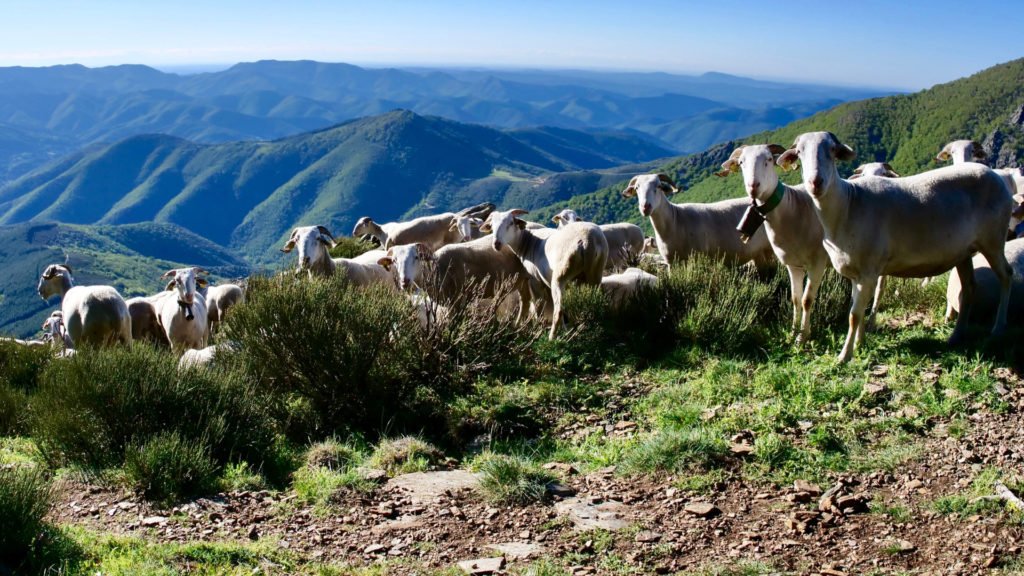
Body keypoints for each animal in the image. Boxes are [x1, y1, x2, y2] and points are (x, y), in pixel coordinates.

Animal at [378, 235, 536, 319]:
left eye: (416, 257)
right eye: (394, 261)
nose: (405, 281)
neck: (436, 270)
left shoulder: (459, 299)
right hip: (522, 281)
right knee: (525, 301)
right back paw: (519, 326)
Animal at [481, 208, 606, 338]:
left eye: (510, 223)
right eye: (492, 226)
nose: (496, 244)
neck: (527, 242)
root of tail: (586, 241)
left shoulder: (534, 280)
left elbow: (538, 306)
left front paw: (538, 328)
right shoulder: (547, 282)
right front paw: (565, 330)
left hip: (560, 276)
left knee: (558, 310)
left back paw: (552, 338)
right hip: (595, 274)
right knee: (595, 301)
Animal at [614, 172, 774, 268]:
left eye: (658, 186)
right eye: (637, 188)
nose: (645, 207)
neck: (675, 221)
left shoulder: (697, 258)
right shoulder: (672, 263)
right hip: (761, 253)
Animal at [778, 132, 1011, 360]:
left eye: (833, 150)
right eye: (799, 153)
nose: (815, 183)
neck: (848, 205)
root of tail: (993, 175)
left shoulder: (868, 271)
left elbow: (854, 315)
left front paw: (844, 355)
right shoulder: (856, 273)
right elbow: (857, 310)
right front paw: (860, 344)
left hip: (993, 240)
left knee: (1006, 275)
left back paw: (998, 330)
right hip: (963, 252)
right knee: (970, 287)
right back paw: (956, 336)